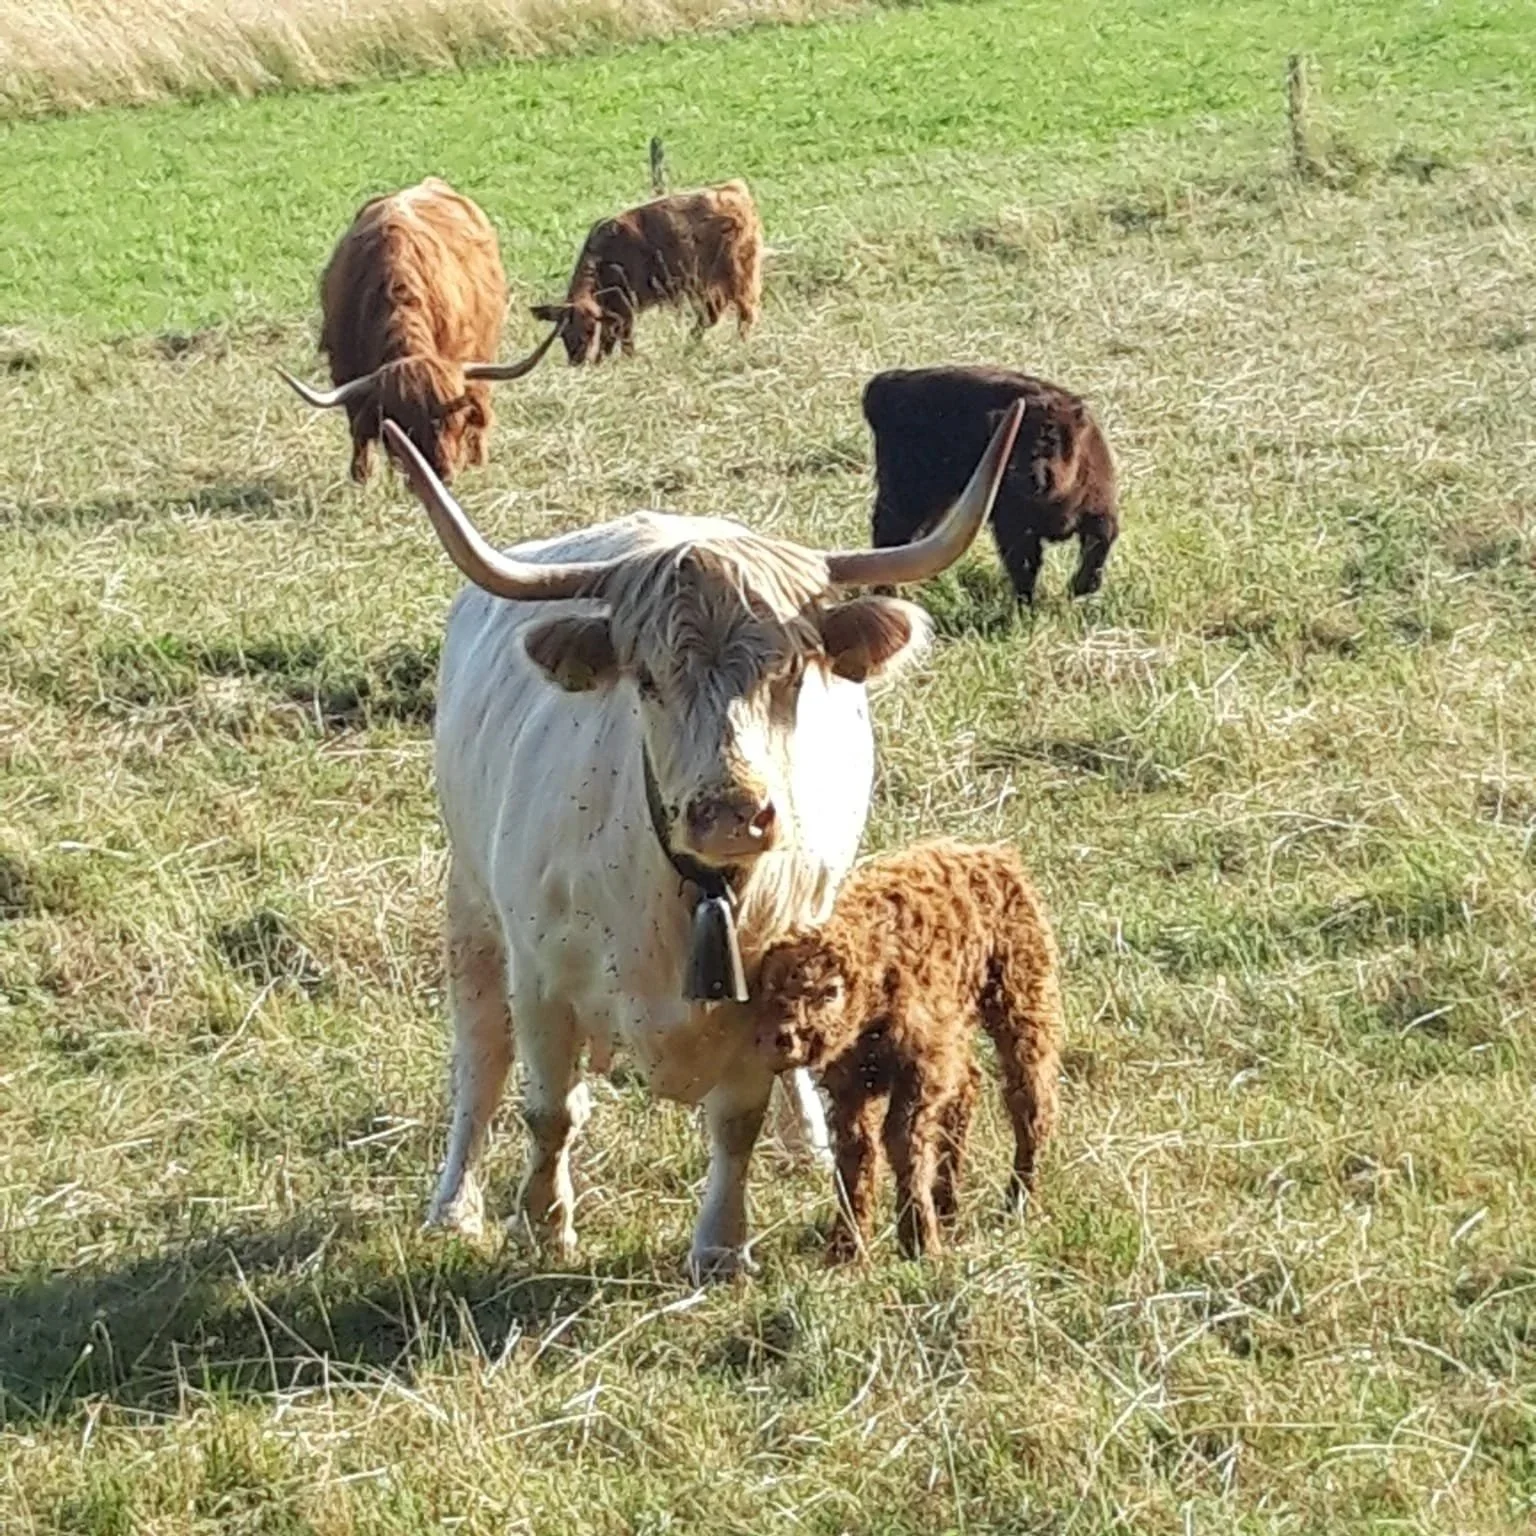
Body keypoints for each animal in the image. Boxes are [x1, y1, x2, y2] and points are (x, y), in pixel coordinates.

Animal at [278, 177, 557, 485]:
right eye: (403, 429)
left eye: (455, 421)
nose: (442, 476)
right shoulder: (345, 370)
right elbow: (358, 431)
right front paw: (362, 478)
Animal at [378, 399, 1026, 1280]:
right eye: (648, 679)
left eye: (792, 672)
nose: (730, 812)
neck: (690, 893)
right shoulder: (541, 978)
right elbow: (549, 1109)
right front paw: (543, 1224)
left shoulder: (764, 997)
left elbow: (736, 1122)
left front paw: (721, 1245)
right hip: (471, 913)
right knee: (480, 1065)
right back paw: (454, 1207)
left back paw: (806, 1141)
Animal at [531, 180, 763, 365]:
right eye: (563, 334)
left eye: (589, 330)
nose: (577, 361)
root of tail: (732, 189)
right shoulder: (613, 312)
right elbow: (608, 342)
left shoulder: (624, 308)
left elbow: (623, 342)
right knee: (712, 313)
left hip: (740, 274)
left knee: (745, 313)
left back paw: (739, 344)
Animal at [862, 366, 1120, 606]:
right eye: (1014, 440)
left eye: (1052, 440)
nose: (1028, 473)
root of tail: (887, 383)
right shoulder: (1012, 528)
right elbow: (1025, 565)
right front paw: (1025, 606)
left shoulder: (1099, 512)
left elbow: (1099, 545)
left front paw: (1081, 588)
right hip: (909, 498)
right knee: (891, 537)